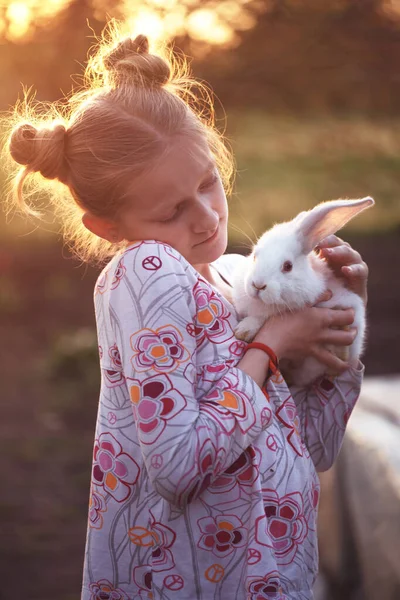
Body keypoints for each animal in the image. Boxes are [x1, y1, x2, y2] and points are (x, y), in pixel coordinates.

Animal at [231, 196, 376, 384]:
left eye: (288, 266)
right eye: (255, 256)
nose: (258, 285)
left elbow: (263, 317)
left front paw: (244, 330)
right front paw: (243, 331)